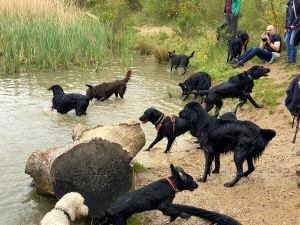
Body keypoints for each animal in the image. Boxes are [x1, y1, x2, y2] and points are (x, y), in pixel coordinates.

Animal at [91, 163, 241, 225]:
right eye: (191, 180)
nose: (197, 185)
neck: (171, 183)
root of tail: (107, 211)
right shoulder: (164, 205)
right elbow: (175, 211)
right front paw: (183, 215)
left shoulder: (166, 206)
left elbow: (173, 211)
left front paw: (174, 218)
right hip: (119, 221)